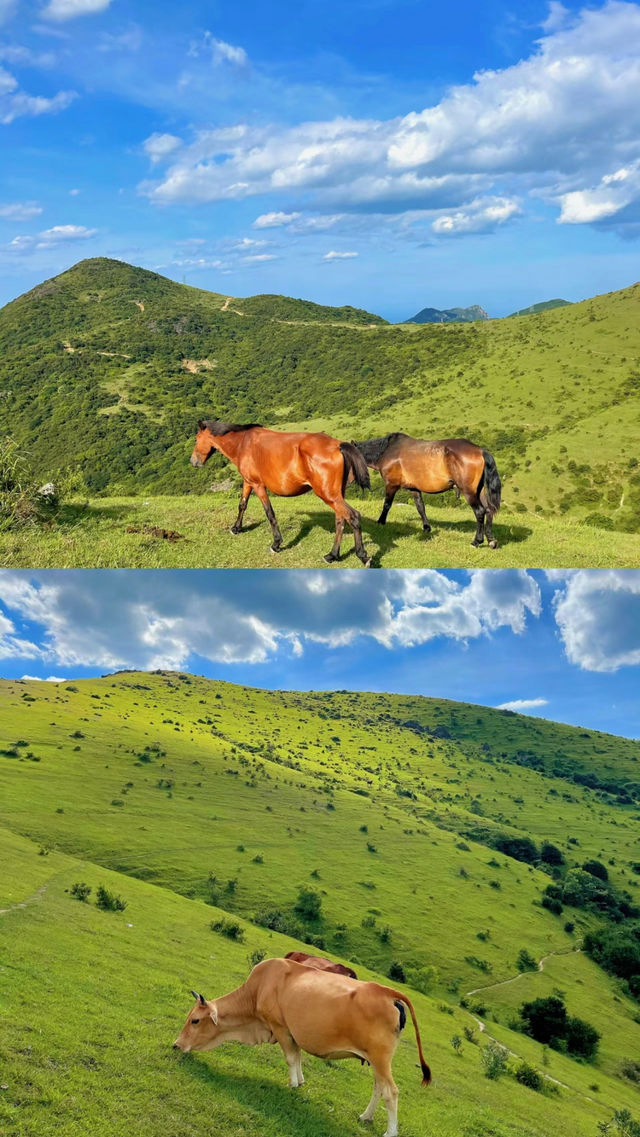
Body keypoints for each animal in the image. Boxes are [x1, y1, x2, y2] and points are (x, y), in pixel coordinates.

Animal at [173, 959, 429, 1137]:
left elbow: (290, 1058)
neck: (258, 990)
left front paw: (294, 1084)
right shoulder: (292, 1033)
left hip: (380, 1058)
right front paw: (301, 1080)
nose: (176, 1045)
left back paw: (390, 1131)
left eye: (195, 1020)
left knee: (391, 1092)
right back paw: (366, 1116)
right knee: (379, 1088)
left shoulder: (280, 1027)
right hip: (376, 1060)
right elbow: (297, 1057)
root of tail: (387, 991)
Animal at [188, 422, 370, 563]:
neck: (243, 443)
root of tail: (338, 445)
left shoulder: (258, 485)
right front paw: (236, 528)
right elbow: (242, 505)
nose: (193, 462)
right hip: (336, 495)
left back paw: (362, 555)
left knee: (353, 516)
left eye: (196, 439)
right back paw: (332, 555)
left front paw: (276, 544)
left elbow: (269, 513)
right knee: (340, 520)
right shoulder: (248, 482)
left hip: (329, 496)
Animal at [354, 432, 500, 548]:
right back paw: (491, 540)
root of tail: (480, 451)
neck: (387, 451)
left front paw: (381, 522)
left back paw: (477, 541)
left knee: (480, 511)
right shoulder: (414, 488)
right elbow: (420, 507)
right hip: (479, 491)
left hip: (468, 491)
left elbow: (387, 505)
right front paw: (426, 528)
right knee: (489, 510)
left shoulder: (391, 485)